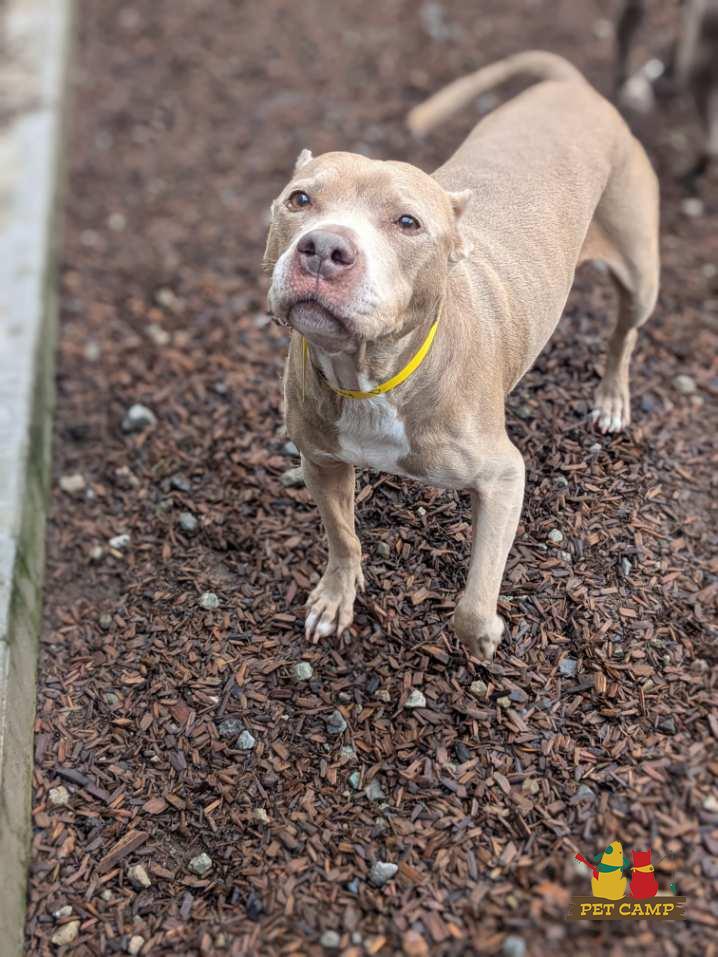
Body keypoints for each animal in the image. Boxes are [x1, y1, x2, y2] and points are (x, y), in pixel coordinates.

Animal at [263, 51, 659, 660]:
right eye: (299, 199)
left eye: (407, 222)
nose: (324, 248)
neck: (374, 376)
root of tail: (575, 88)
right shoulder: (322, 462)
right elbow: (343, 536)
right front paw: (336, 596)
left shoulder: (503, 478)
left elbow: (472, 605)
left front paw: (487, 635)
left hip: (641, 273)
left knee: (624, 334)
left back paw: (612, 398)